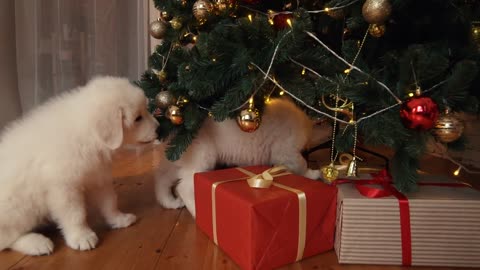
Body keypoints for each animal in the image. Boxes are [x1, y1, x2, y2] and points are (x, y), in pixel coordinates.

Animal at [0, 75, 159, 255]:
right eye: (138, 118)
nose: (159, 129)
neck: (88, 136)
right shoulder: (64, 188)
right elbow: (75, 214)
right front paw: (81, 237)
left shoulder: (99, 176)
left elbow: (110, 201)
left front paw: (119, 219)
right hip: (19, 208)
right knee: (6, 239)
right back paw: (36, 243)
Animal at [156, 97, 324, 217]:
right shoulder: (287, 152)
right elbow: (302, 165)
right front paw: (314, 174)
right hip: (202, 159)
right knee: (182, 187)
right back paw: (197, 213)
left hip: (175, 161)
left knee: (161, 183)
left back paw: (171, 203)